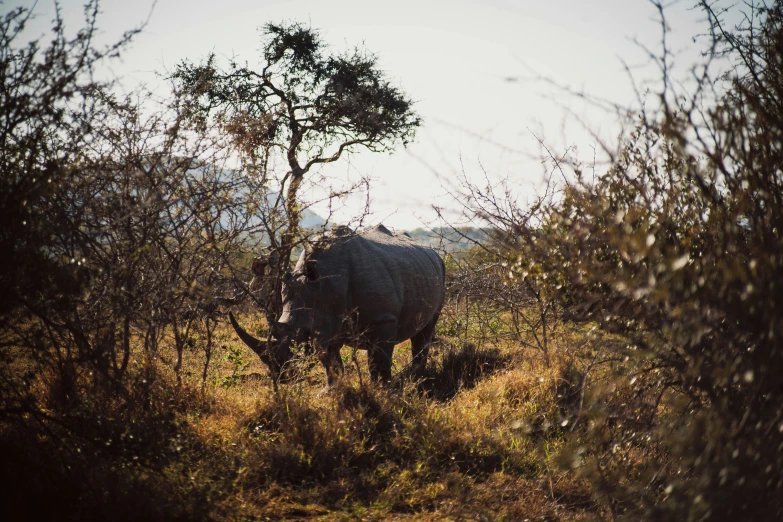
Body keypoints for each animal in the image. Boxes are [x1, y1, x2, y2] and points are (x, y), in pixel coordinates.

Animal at [230, 223, 444, 382]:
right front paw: (330, 391)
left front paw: (382, 390)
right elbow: (329, 360)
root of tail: (434, 252)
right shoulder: (326, 319)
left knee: (427, 329)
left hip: (438, 269)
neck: (323, 284)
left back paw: (415, 378)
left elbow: (378, 361)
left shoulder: (383, 318)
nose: (280, 377)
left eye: (300, 338)